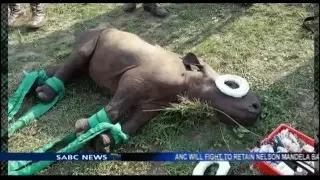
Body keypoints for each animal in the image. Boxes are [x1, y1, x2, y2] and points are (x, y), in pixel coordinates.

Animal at [35, 27, 262, 151]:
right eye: (231, 84)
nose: (257, 107)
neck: (189, 79)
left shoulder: (155, 103)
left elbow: (136, 122)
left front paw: (105, 142)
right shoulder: (134, 79)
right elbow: (116, 108)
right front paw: (84, 129)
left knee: (79, 67)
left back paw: (37, 85)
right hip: (96, 34)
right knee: (81, 56)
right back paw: (45, 94)